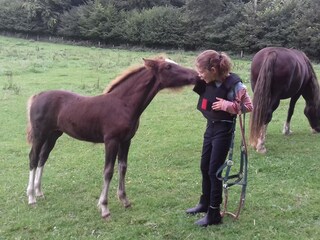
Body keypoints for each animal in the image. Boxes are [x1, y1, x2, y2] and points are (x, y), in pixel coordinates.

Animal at [26, 56, 199, 219]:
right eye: (168, 66)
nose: (196, 75)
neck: (122, 104)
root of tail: (37, 96)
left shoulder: (126, 140)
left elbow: (123, 167)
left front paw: (124, 200)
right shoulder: (111, 141)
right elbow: (108, 171)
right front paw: (104, 208)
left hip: (53, 134)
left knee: (43, 157)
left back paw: (39, 192)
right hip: (40, 134)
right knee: (33, 158)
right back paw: (31, 197)